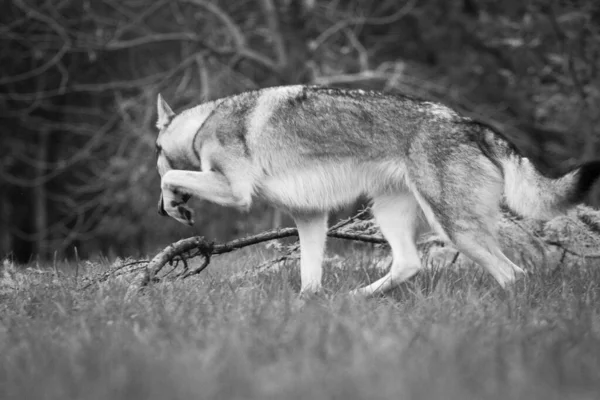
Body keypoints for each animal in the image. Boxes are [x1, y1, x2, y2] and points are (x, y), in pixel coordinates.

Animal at [154, 85, 600, 296]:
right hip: (390, 216)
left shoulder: (236, 191)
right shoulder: (310, 217)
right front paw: (307, 309)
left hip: (455, 230)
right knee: (408, 265)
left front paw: (173, 202)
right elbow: (309, 281)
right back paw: (353, 299)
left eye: (155, 150)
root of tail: (469, 123)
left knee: (515, 275)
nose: (161, 213)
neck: (201, 125)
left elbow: (169, 176)